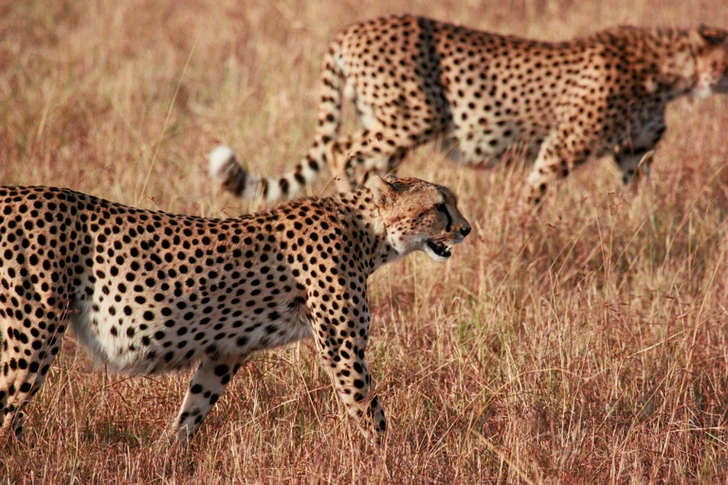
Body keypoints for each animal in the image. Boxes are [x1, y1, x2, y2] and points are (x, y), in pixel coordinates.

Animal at [0, 176, 471, 444]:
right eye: (438, 206)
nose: (466, 229)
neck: (369, 234)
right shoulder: (342, 349)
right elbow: (368, 408)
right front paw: (392, 459)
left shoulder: (226, 350)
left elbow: (194, 408)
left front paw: (166, 455)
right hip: (31, 335)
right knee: (8, 409)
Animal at [210, 15, 728, 208]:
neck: (669, 69)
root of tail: (352, 27)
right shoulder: (562, 145)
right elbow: (535, 194)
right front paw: (523, 234)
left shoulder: (632, 153)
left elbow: (641, 194)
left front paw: (648, 222)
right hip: (413, 117)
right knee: (340, 149)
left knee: (369, 164)